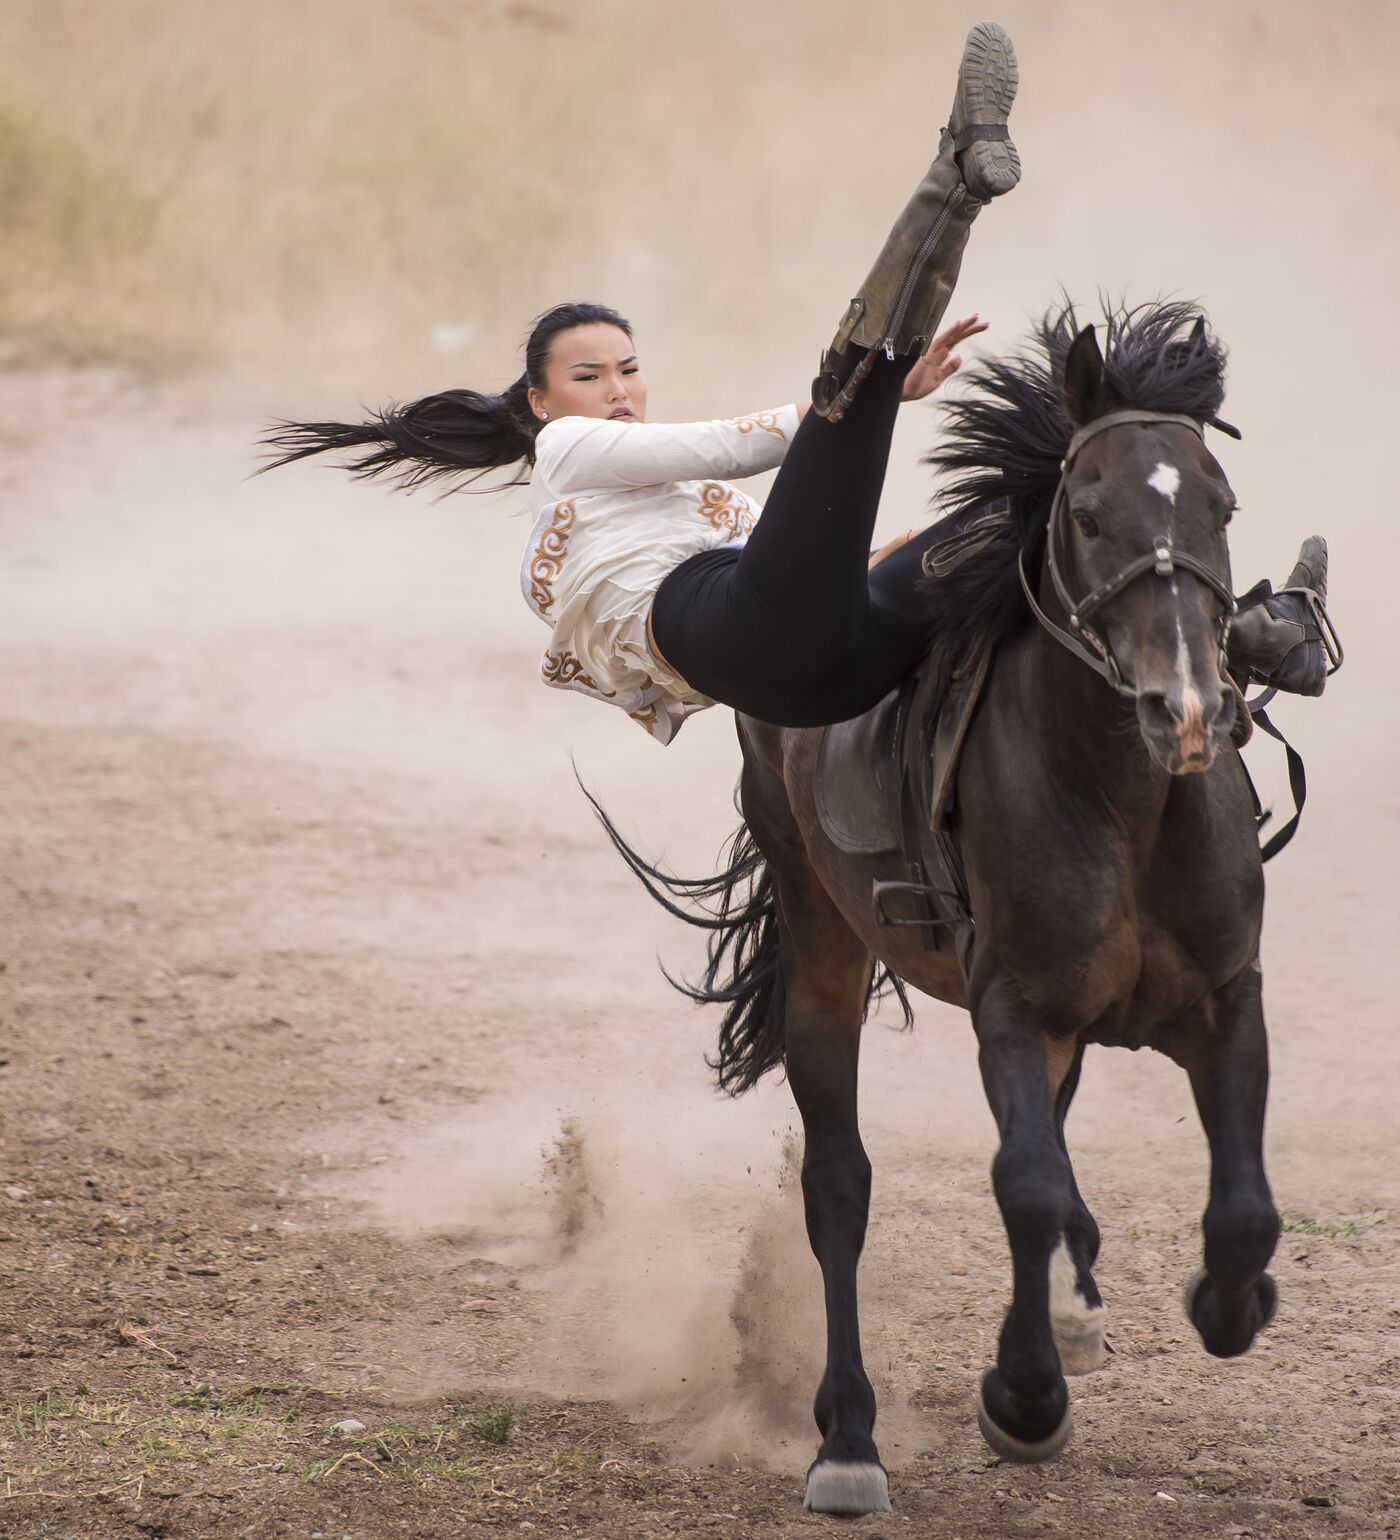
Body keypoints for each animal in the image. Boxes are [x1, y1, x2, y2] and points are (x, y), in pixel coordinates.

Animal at [591, 303, 1275, 1515]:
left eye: (1221, 505)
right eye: (1087, 513)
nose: (1188, 710)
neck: (1126, 806)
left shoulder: (1225, 995)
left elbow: (1239, 1211)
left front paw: (1219, 1306)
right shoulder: (1012, 1008)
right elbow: (1024, 1185)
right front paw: (1023, 1398)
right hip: (819, 934)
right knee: (838, 1185)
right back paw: (847, 1440)